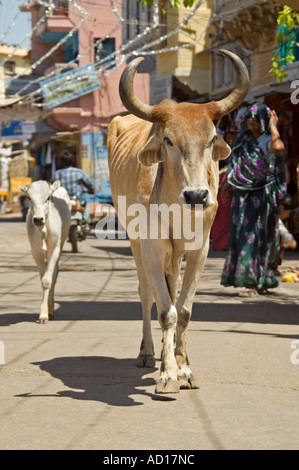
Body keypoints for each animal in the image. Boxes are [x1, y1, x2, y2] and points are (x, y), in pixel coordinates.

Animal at [20, 180, 71, 324]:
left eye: (48, 198)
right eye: (29, 197)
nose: (38, 219)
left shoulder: (54, 249)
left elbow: (47, 281)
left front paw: (44, 313)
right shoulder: (35, 251)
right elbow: (42, 279)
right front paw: (44, 311)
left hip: (60, 244)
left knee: (55, 273)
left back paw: (51, 308)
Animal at [109, 50, 250, 392]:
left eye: (211, 139)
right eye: (169, 140)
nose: (197, 195)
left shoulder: (200, 251)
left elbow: (183, 311)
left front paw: (183, 367)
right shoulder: (152, 248)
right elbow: (165, 311)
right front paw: (167, 374)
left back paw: (166, 353)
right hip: (136, 244)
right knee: (146, 293)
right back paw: (149, 354)